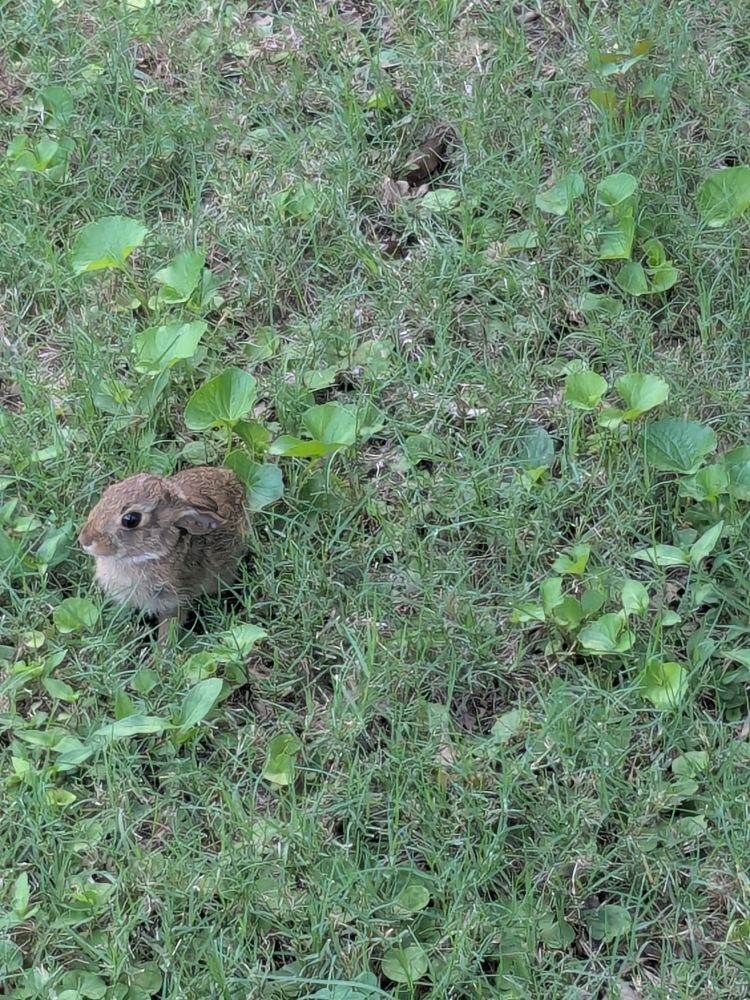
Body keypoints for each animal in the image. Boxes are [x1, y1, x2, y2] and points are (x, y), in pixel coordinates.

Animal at [78, 466, 248, 642]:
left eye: (131, 520)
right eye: (108, 492)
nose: (85, 540)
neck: (150, 554)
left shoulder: (175, 601)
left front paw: (163, 650)